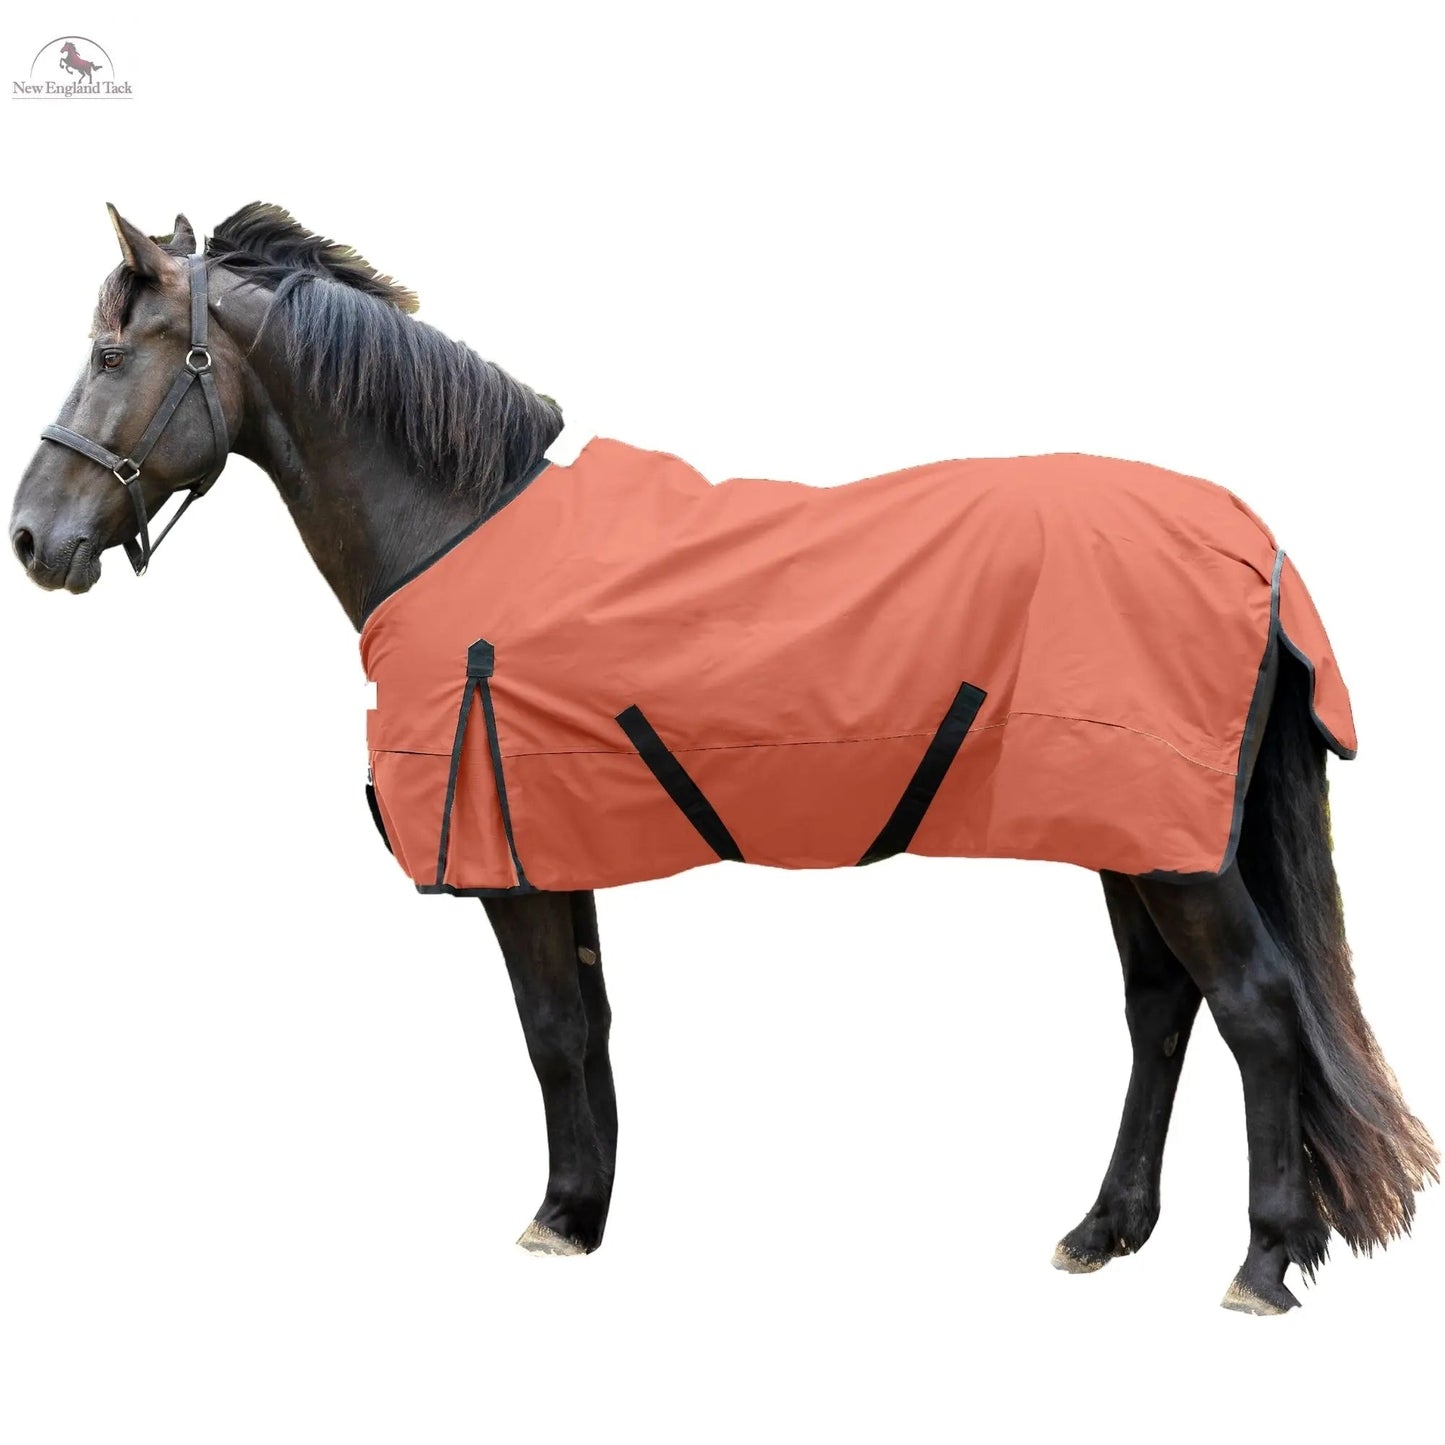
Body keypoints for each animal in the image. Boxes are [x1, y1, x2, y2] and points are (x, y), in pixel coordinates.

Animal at [9, 202, 1436, 1314]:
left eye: (106, 352)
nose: (31, 537)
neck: (458, 526)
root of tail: (1251, 542)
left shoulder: (511, 862)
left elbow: (548, 1029)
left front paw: (555, 1217)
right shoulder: (554, 844)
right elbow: (585, 1026)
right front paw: (584, 1207)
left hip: (1172, 852)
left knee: (1254, 1009)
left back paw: (1260, 1260)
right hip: (1126, 837)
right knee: (1159, 1011)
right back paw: (1103, 1230)